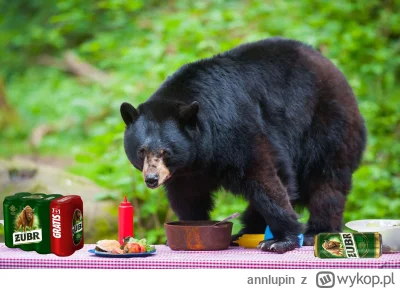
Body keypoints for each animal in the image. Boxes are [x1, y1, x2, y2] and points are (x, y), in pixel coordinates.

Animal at [120, 37, 368, 251]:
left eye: (166, 152)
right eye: (141, 151)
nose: (151, 179)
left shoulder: (235, 128)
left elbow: (263, 176)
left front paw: (282, 239)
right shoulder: (187, 169)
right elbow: (187, 196)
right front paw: (191, 225)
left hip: (326, 124)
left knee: (325, 180)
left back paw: (314, 232)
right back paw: (245, 231)